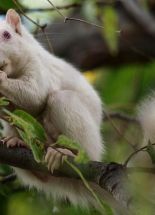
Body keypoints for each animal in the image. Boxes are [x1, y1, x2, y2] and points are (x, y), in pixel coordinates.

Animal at [0, 9, 104, 207]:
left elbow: (34, 95)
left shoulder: (39, 67)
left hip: (73, 118)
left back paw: (64, 152)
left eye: (7, 35)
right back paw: (17, 141)